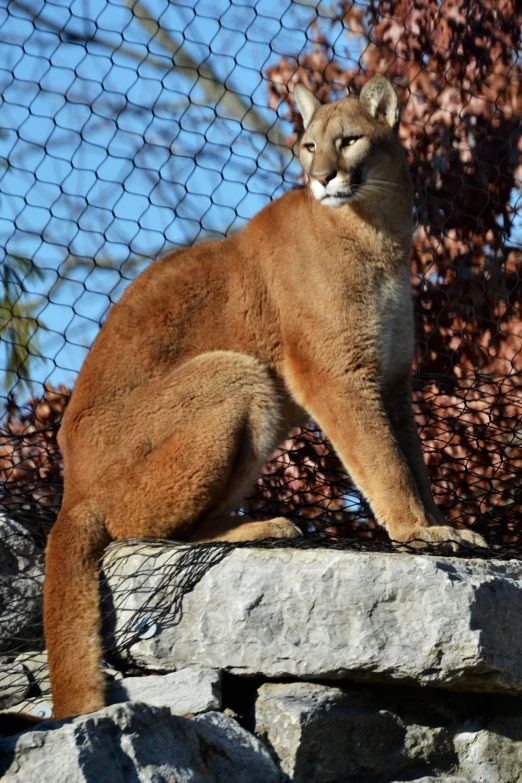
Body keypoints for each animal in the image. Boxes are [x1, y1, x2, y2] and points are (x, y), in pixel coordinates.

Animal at [40, 75, 484, 724]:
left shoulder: (392, 379)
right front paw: (416, 533)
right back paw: (260, 527)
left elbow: (411, 461)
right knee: (135, 531)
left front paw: (437, 526)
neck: (377, 228)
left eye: (348, 140)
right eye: (308, 146)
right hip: (235, 372)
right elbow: (383, 462)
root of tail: (71, 489)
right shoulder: (337, 375)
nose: (322, 177)